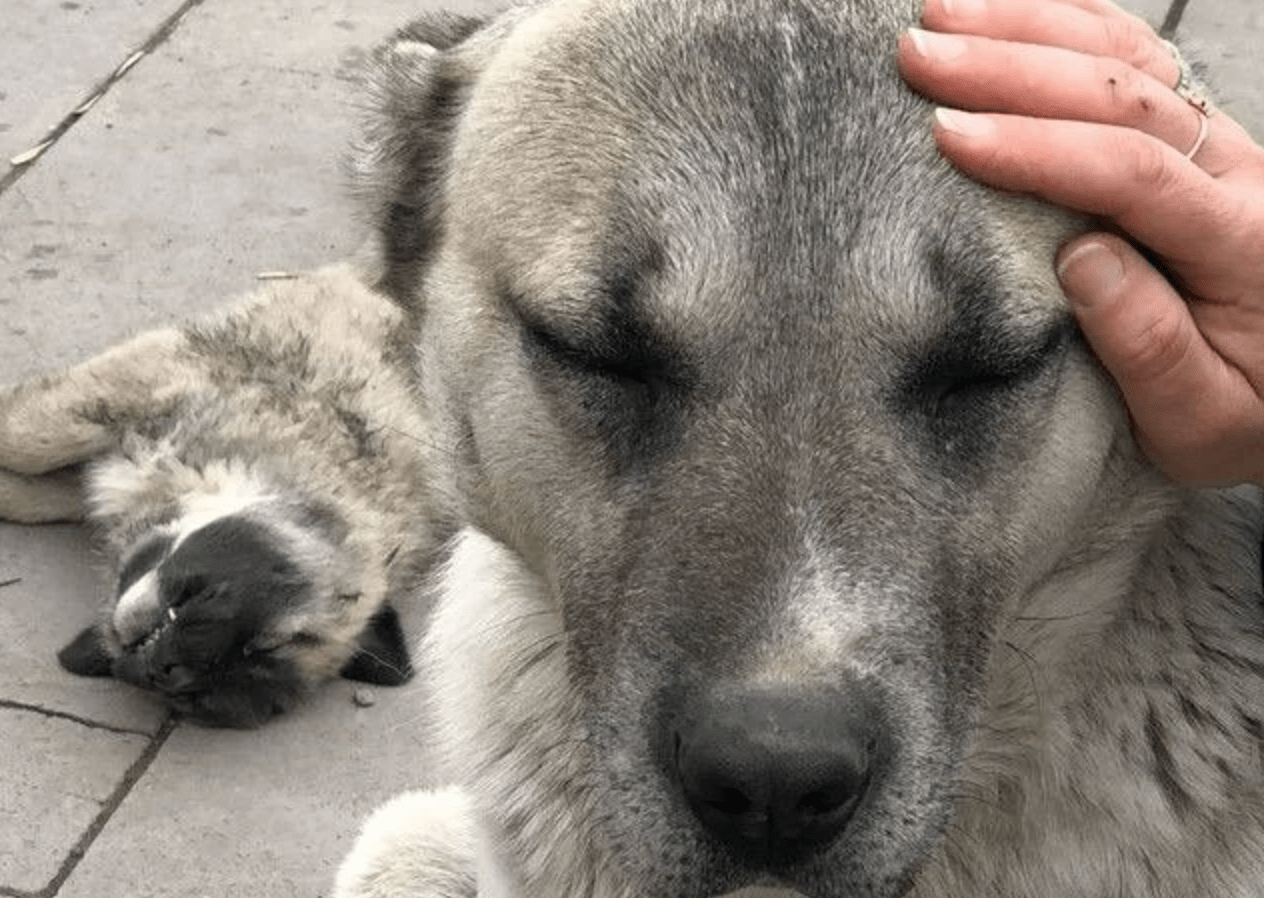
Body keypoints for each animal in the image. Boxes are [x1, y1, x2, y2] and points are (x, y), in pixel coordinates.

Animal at [0, 266, 449, 733]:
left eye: (194, 699)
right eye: (268, 643)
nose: (169, 671)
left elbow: (42, 493)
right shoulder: (153, 381)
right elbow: (27, 442)